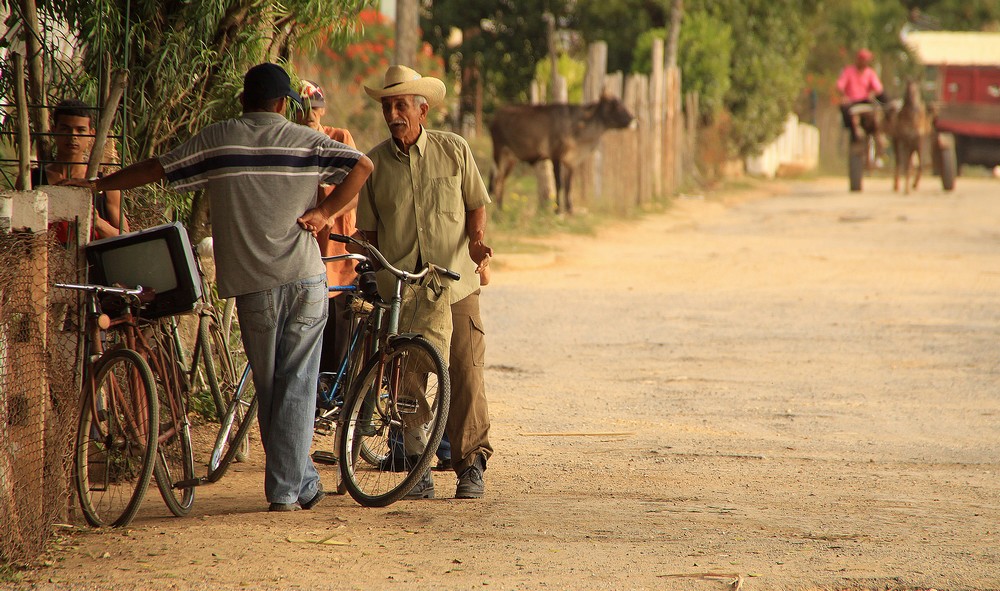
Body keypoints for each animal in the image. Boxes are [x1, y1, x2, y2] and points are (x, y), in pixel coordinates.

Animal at [490, 96, 632, 216]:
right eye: (617, 106)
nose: (632, 119)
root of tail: (495, 116)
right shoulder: (556, 156)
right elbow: (559, 184)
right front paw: (557, 210)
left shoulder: (570, 162)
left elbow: (569, 185)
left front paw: (570, 209)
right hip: (498, 151)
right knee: (495, 179)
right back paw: (495, 212)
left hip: (510, 158)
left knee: (501, 180)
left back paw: (500, 209)